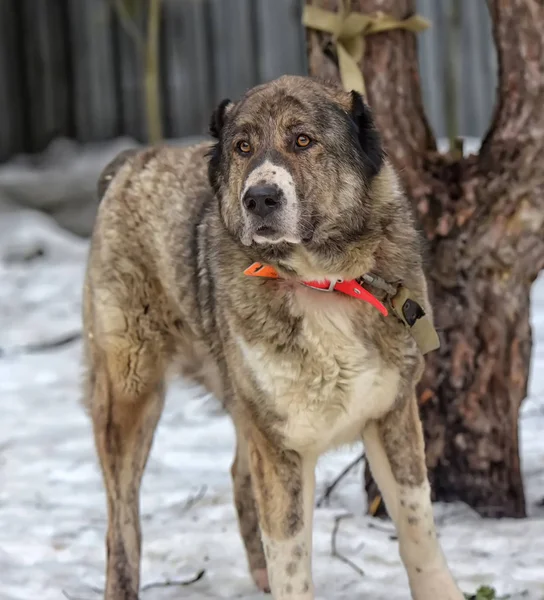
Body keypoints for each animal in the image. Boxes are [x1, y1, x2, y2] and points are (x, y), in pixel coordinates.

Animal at [83, 76, 466, 600]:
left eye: (302, 140)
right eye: (243, 147)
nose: (259, 198)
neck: (323, 282)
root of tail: (133, 162)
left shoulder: (391, 413)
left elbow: (417, 531)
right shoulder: (281, 446)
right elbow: (292, 562)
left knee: (237, 478)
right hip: (129, 396)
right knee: (121, 522)